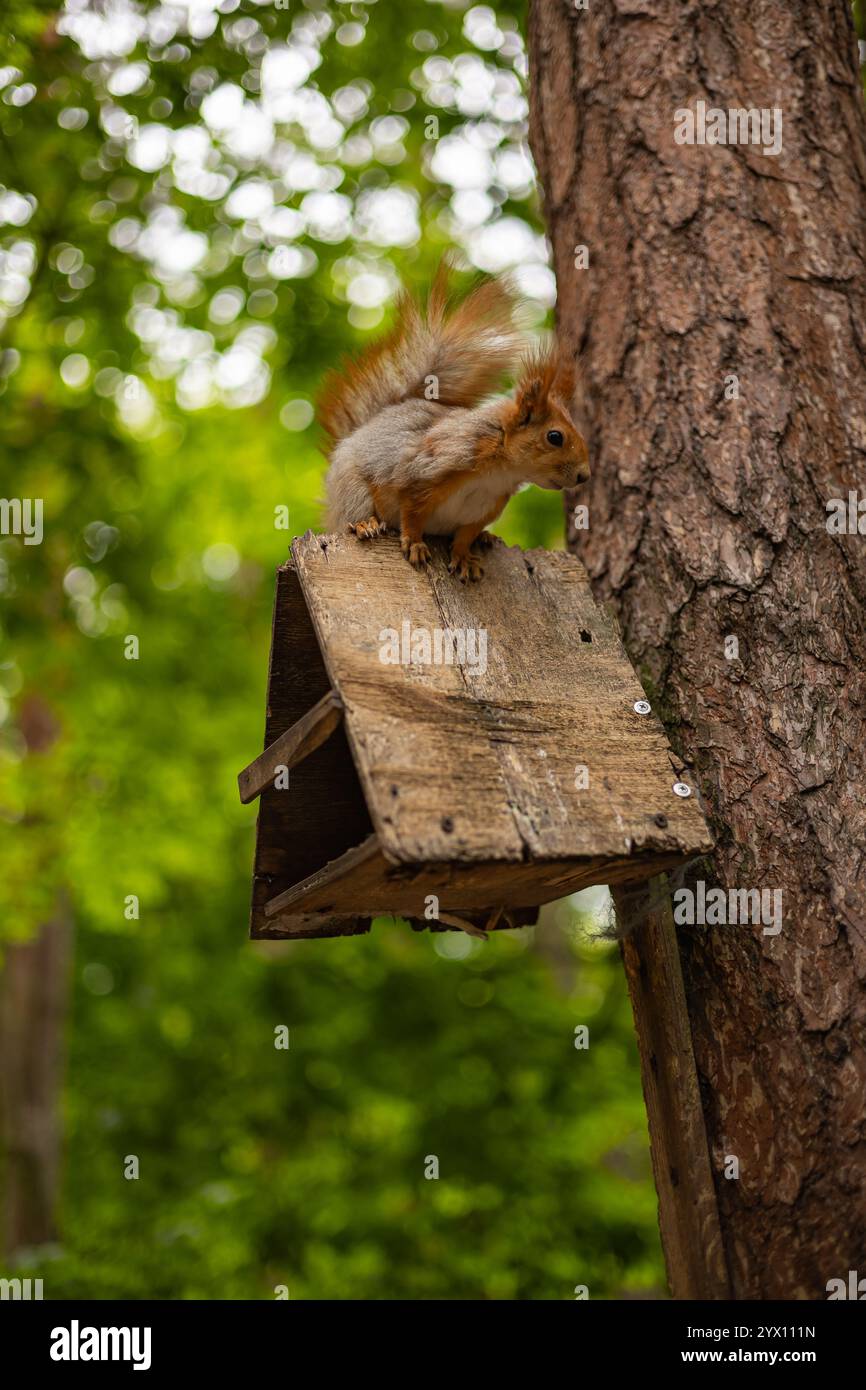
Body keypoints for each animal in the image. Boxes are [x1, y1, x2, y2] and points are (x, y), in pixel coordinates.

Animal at [318, 260, 589, 581]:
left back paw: (486, 538)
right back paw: (365, 524)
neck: (500, 470)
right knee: (353, 511)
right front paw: (415, 544)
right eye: (555, 437)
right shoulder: (424, 472)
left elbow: (465, 535)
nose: (584, 475)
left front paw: (463, 558)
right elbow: (411, 514)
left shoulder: (483, 509)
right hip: (352, 487)